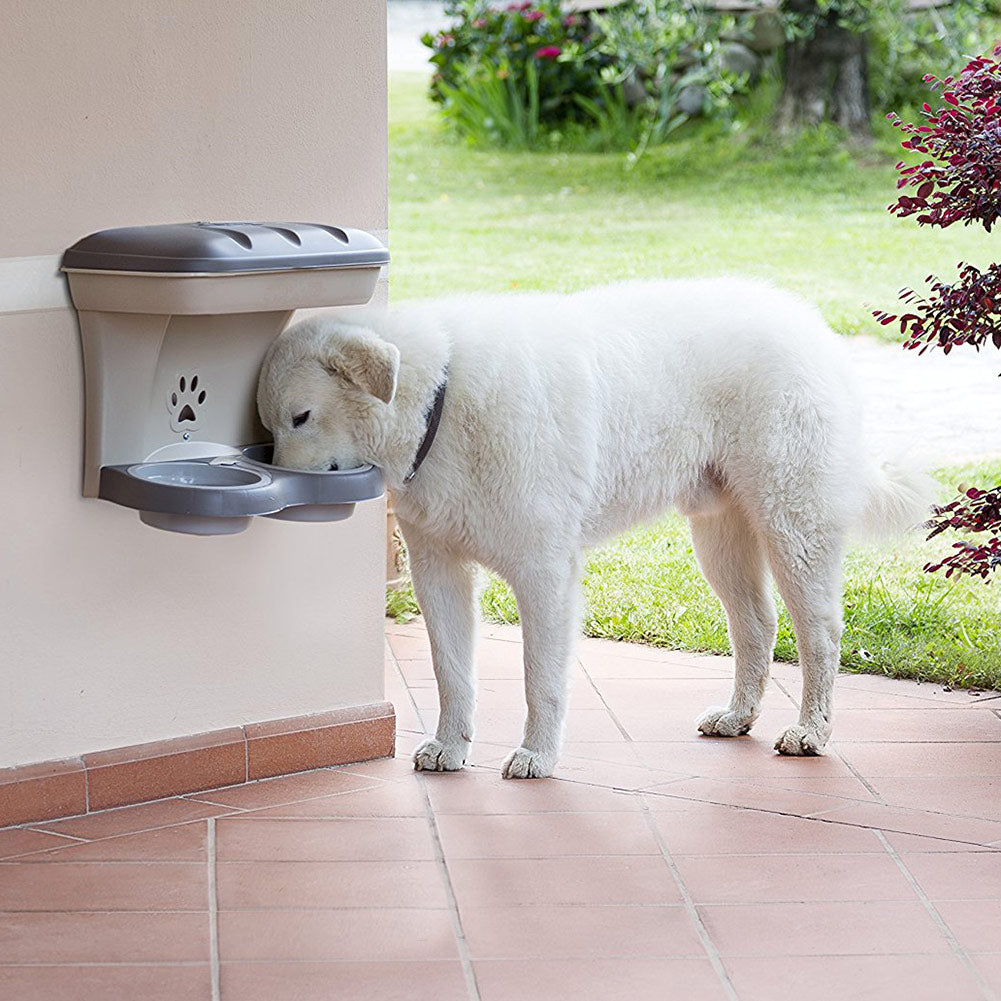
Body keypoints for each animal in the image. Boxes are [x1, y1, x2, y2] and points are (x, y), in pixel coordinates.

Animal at [254, 278, 924, 776]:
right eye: (270, 425)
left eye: (301, 417)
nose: (278, 491)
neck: (439, 400)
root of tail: (810, 324)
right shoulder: (438, 570)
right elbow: (452, 672)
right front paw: (451, 746)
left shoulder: (544, 573)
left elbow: (540, 679)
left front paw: (537, 755)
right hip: (719, 536)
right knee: (757, 624)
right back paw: (738, 717)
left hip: (793, 526)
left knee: (820, 632)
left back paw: (811, 730)